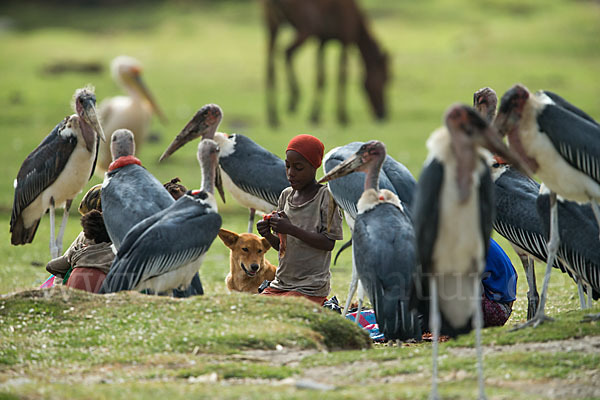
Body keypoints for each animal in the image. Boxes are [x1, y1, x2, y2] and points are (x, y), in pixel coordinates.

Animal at [262, 0, 390, 126]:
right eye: (385, 79)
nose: (383, 114)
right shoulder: (346, 40)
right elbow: (342, 78)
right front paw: (342, 117)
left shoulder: (322, 41)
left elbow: (321, 78)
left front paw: (315, 116)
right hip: (305, 29)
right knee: (287, 53)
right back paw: (293, 99)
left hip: (273, 27)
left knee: (270, 65)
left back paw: (273, 118)